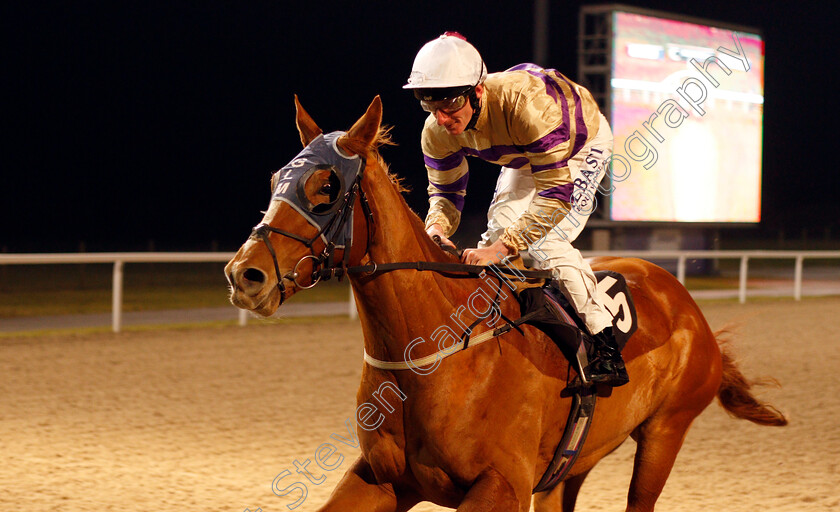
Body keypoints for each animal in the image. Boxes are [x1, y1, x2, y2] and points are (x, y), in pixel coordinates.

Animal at [225, 97, 788, 512]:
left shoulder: (501, 485)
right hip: (573, 462)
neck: (432, 355)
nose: (244, 275)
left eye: (327, 186)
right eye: (276, 180)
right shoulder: (383, 480)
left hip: (665, 432)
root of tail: (689, 307)